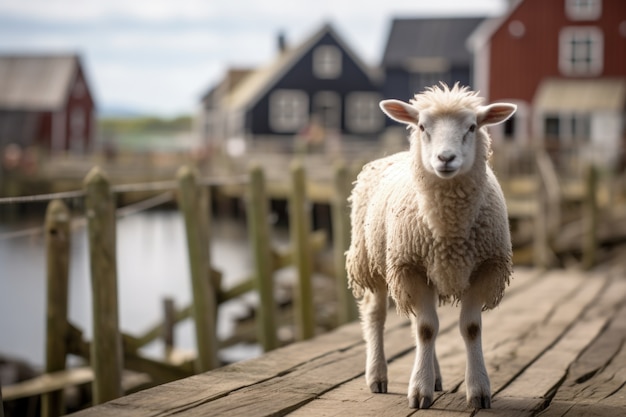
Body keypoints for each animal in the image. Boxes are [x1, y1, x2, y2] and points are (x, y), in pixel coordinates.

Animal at [344, 83, 516, 408]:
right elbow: (426, 330)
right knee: (376, 315)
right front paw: (419, 391)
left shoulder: (484, 267)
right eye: (422, 126)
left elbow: (469, 329)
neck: (450, 230)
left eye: (472, 127)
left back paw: (434, 377)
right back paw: (377, 375)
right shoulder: (409, 265)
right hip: (372, 260)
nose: (445, 158)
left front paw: (478, 390)